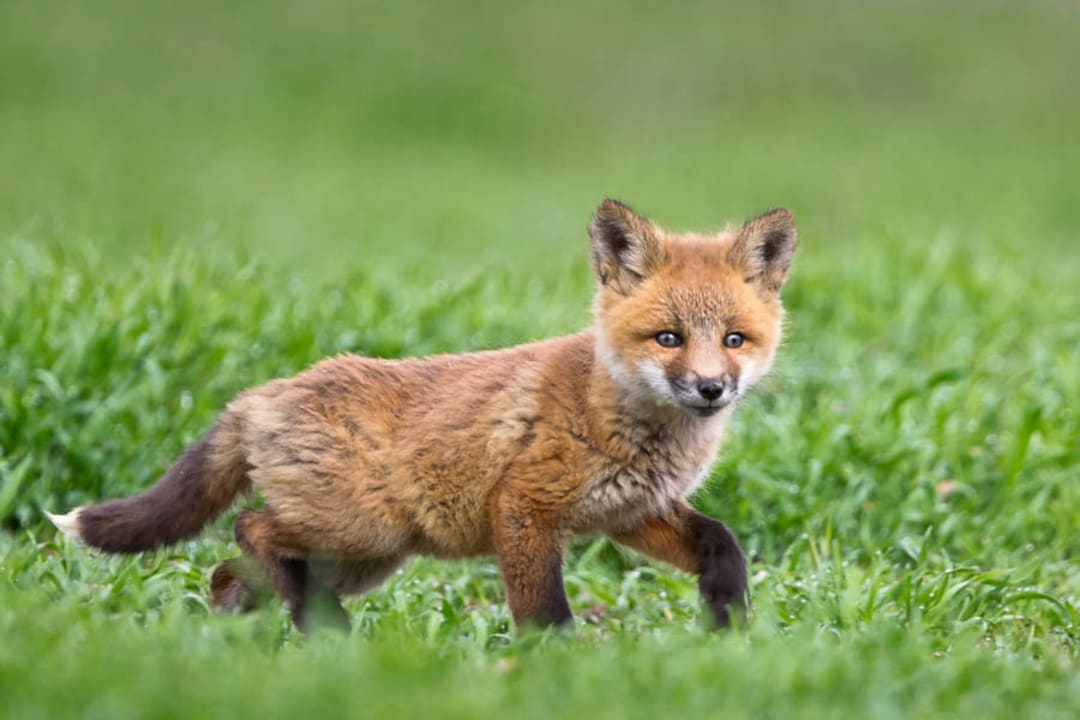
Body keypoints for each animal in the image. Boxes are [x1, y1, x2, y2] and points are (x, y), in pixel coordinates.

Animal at [46, 199, 799, 634]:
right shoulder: (523, 507)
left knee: (228, 572)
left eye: (734, 339)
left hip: (363, 558)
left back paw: (241, 638)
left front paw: (729, 619)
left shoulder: (630, 511)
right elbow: (543, 610)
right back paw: (322, 629)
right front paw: (556, 668)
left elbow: (721, 541)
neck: (623, 422)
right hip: (358, 530)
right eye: (668, 338)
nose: (710, 388)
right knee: (248, 528)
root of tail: (259, 394)